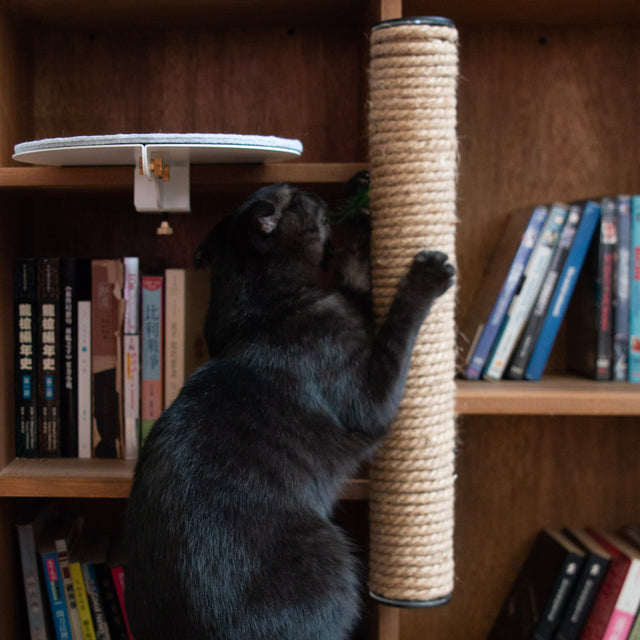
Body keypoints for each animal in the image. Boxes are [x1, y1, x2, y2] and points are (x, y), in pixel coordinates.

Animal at [124, 181, 456, 640]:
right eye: (296, 195)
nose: (316, 192)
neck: (258, 311)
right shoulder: (370, 397)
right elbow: (397, 327)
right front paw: (427, 277)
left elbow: (355, 280)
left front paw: (362, 225)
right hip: (335, 558)